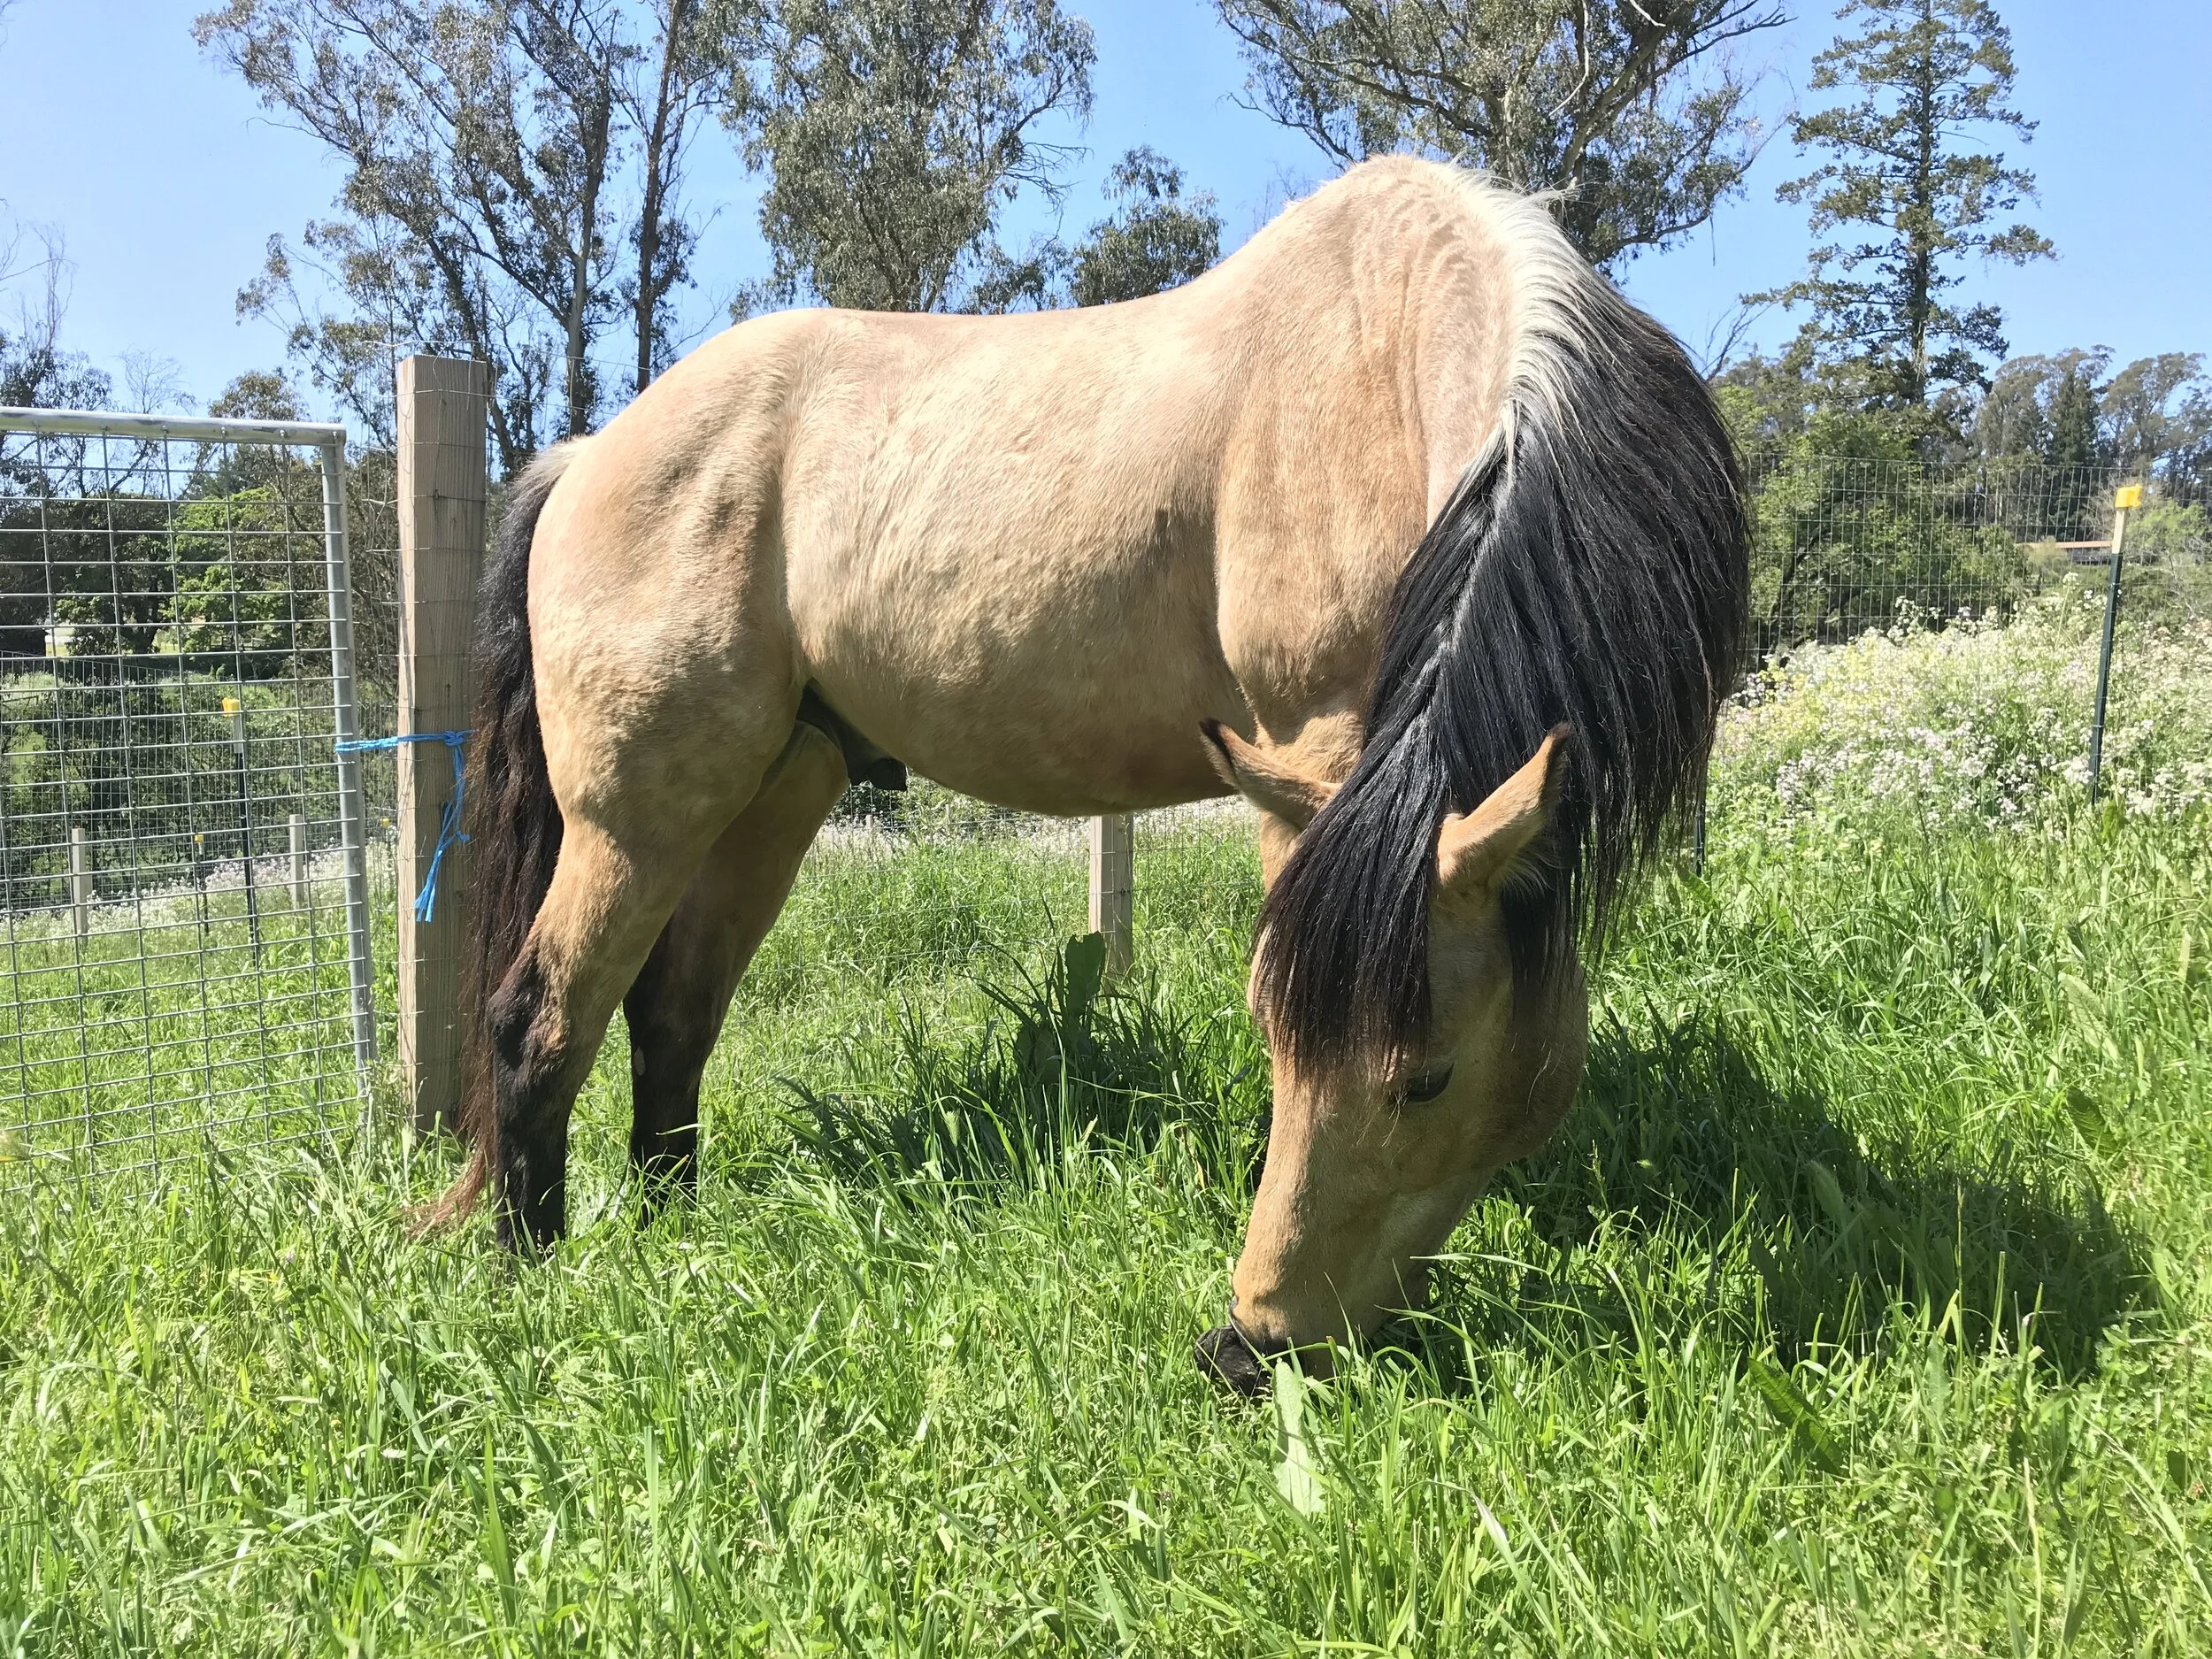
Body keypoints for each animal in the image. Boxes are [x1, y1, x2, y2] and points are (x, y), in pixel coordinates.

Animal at [422, 155, 1748, 1395]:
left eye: (1429, 1079)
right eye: (1284, 1038)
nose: (1249, 1348)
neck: (1383, 357)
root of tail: (592, 453)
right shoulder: (1314, 748)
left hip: (771, 793)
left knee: (673, 1014)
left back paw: (677, 1240)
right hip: (635, 814)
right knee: (541, 1015)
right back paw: (535, 1273)